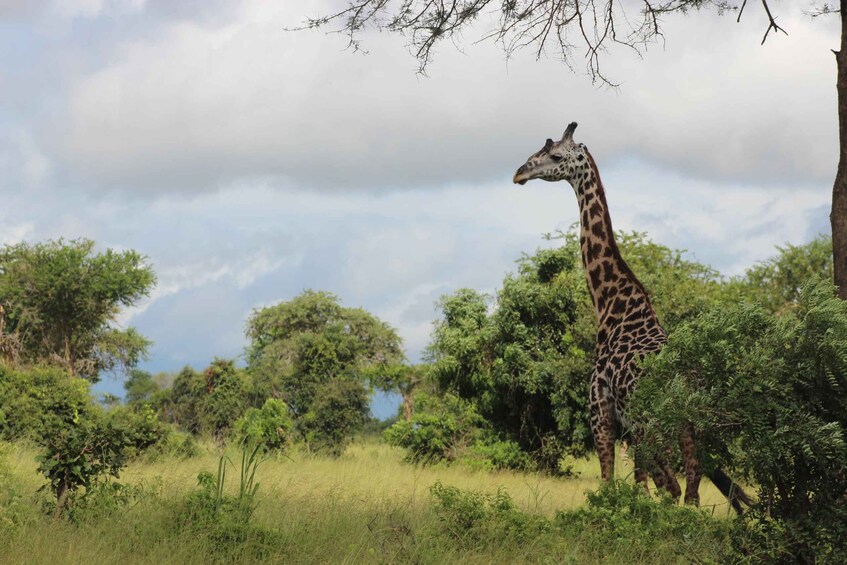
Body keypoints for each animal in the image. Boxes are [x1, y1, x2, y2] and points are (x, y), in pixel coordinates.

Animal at [513, 122, 751, 512]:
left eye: (556, 155)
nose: (519, 173)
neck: (611, 306)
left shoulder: (601, 411)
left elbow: (611, 484)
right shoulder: (628, 425)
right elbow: (644, 486)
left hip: (655, 424)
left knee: (678, 486)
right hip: (688, 425)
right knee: (692, 485)